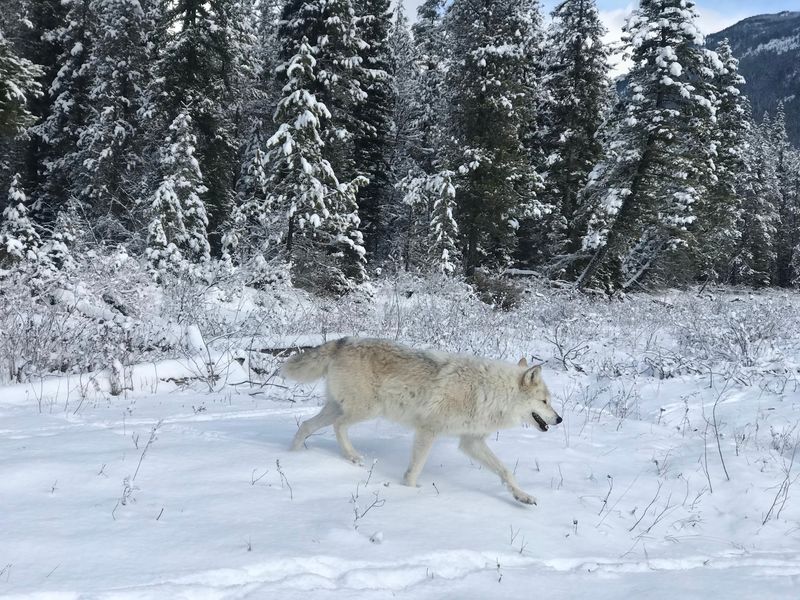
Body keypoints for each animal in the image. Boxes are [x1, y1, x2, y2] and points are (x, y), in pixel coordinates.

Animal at [281, 338, 561, 505]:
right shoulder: (428, 430)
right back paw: (351, 457)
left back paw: (293, 456)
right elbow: (415, 469)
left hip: (337, 408)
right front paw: (411, 492)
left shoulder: (471, 443)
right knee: (338, 426)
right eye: (544, 401)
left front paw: (522, 496)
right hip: (366, 410)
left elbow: (506, 471)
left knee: (306, 426)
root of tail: (343, 341)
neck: (488, 392)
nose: (559, 419)